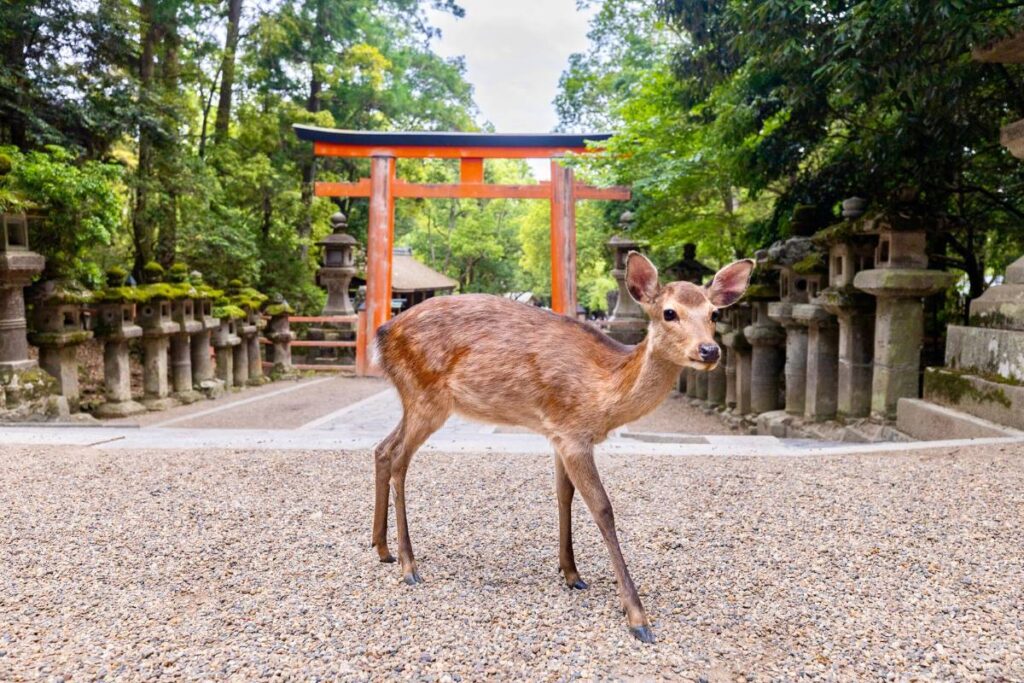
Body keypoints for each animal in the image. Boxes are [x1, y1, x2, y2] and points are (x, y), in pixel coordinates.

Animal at [371, 252, 754, 643]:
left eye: (714, 314)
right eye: (669, 312)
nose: (709, 350)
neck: (605, 393)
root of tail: (382, 334)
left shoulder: (558, 433)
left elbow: (563, 496)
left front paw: (572, 574)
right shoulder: (573, 436)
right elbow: (602, 508)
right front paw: (638, 617)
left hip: (416, 399)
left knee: (382, 449)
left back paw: (382, 549)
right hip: (426, 396)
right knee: (399, 459)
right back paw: (409, 565)